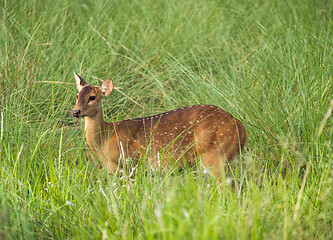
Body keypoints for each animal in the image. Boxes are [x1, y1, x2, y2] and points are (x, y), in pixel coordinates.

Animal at [71, 72, 245, 182]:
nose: (75, 111)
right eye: (77, 95)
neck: (105, 139)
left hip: (215, 155)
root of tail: (240, 127)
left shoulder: (128, 166)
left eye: (92, 97)